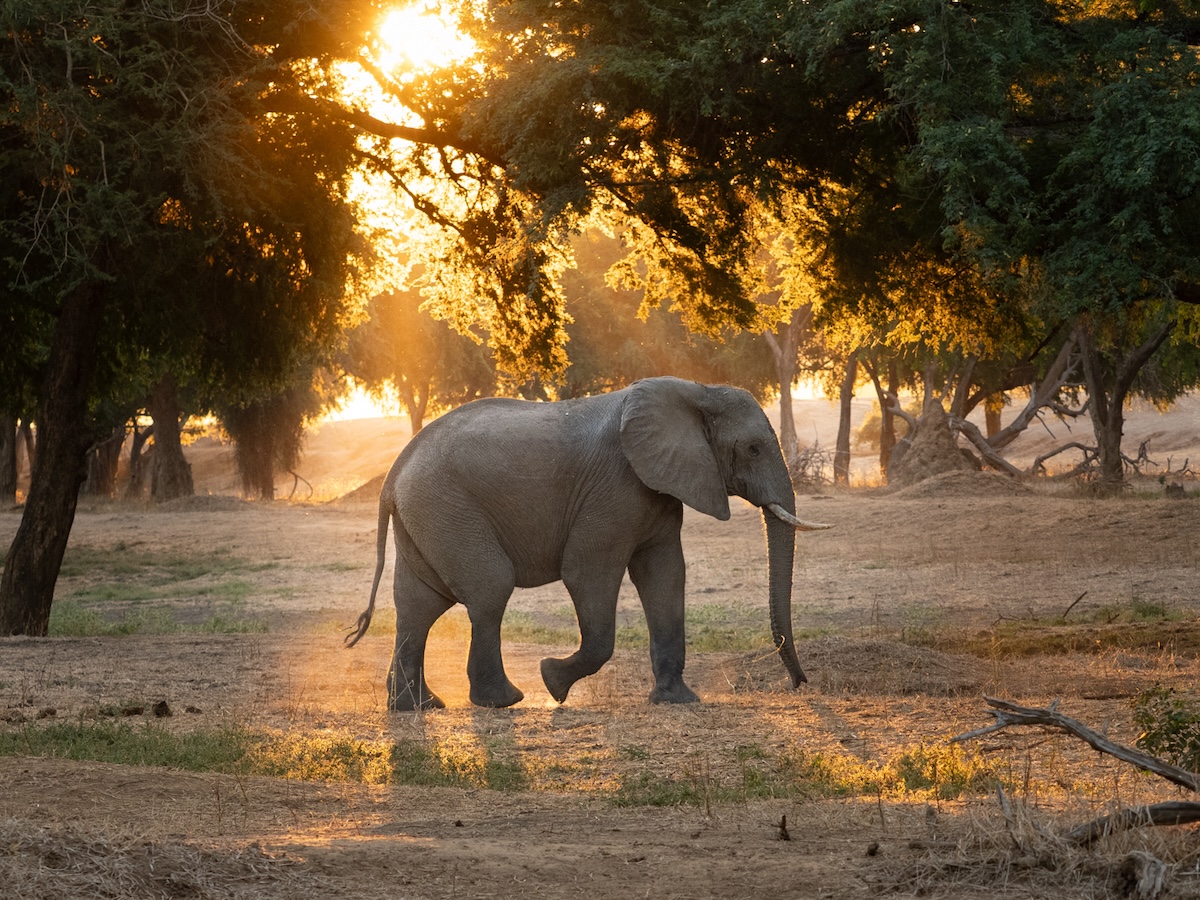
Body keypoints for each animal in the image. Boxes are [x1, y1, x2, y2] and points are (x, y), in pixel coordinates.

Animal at [345, 375, 829, 711]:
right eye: (753, 449)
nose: (800, 684)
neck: (696, 389)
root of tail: (394, 473)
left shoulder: (658, 489)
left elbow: (666, 576)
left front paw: (677, 700)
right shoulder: (614, 489)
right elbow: (586, 574)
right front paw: (553, 682)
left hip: (427, 515)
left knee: (419, 605)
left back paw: (417, 708)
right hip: (447, 509)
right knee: (488, 589)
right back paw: (503, 701)